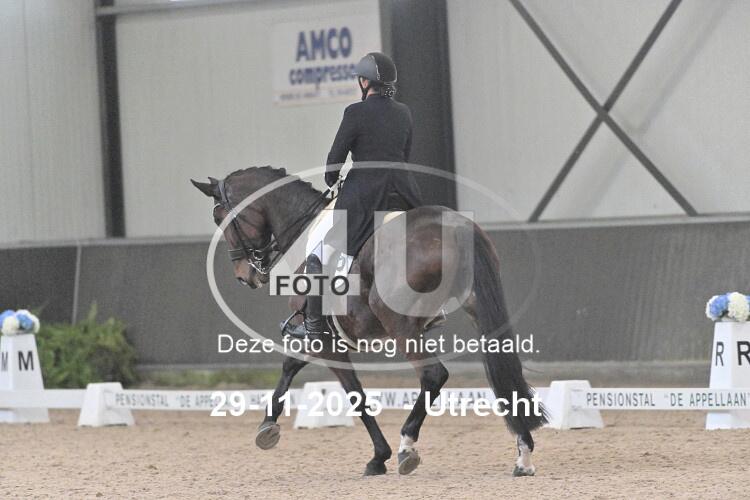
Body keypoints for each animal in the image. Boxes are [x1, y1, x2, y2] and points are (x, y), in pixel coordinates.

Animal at [192, 165, 547, 476]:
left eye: (220, 218)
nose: (245, 276)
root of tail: (456, 229)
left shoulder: (325, 341)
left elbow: (354, 394)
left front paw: (379, 457)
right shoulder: (324, 338)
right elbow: (292, 367)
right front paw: (269, 424)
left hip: (400, 324)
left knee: (433, 375)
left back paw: (407, 447)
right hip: (478, 310)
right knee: (502, 373)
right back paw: (524, 456)